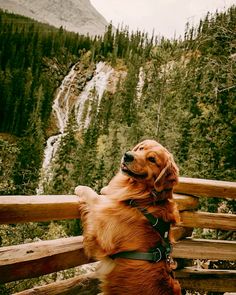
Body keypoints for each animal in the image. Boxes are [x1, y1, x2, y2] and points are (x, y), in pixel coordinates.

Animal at [75, 140, 181, 294]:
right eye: (141, 148)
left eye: (152, 159)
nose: (128, 155)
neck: (144, 200)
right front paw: (106, 189)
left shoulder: (104, 228)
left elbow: (95, 198)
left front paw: (82, 188)